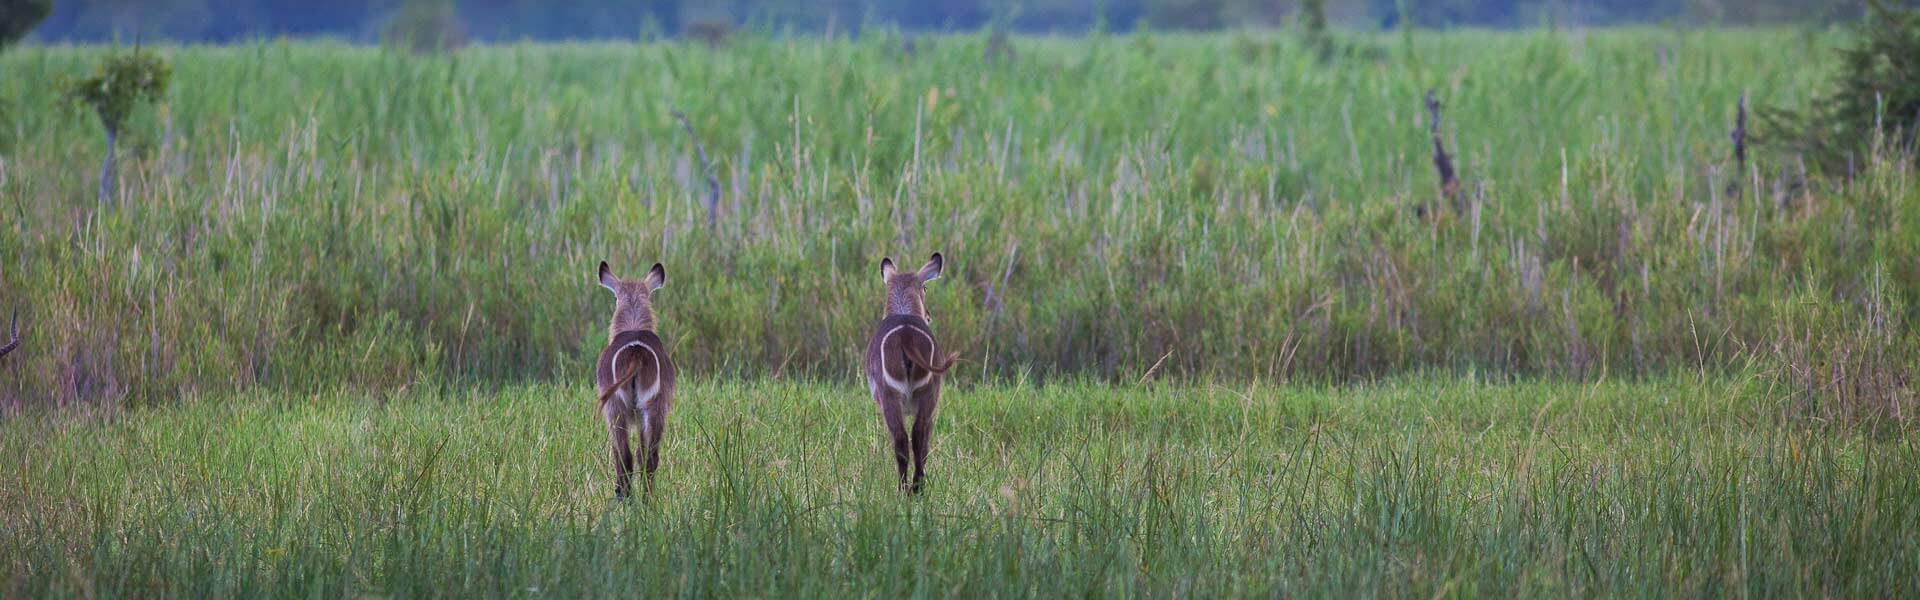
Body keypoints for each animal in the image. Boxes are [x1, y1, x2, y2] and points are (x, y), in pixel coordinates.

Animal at [595, 259, 679, 500]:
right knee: (645, 457)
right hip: (651, 408)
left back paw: (629, 499)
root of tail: (636, 354)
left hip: (618, 408)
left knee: (628, 456)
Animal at [867, 251, 956, 492]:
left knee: (906, 438)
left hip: (895, 395)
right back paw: (915, 488)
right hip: (926, 394)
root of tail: (906, 335)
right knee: (917, 437)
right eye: (925, 288)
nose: (930, 316)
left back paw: (907, 489)